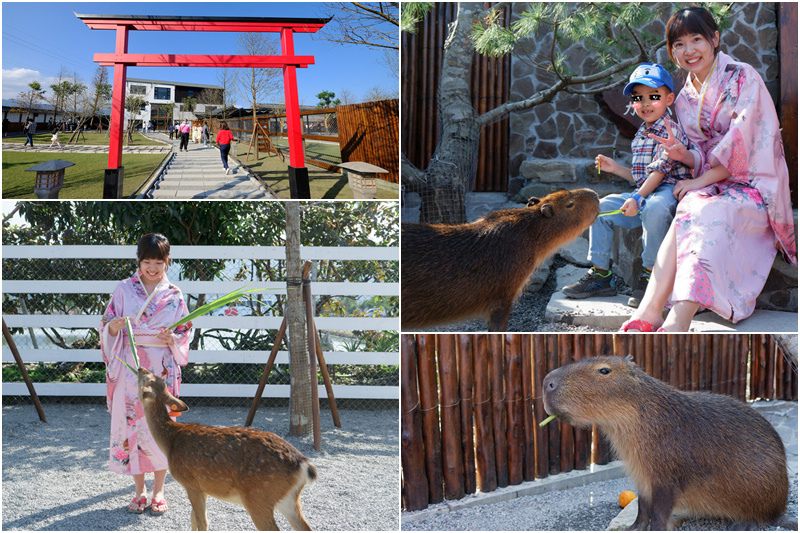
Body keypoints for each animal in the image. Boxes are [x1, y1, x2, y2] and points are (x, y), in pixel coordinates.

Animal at [138, 368, 316, 528]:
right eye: (155, 377)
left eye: (147, 379)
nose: (140, 368)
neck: (170, 441)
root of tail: (303, 464)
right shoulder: (203, 487)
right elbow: (194, 519)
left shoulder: (191, 483)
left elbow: (202, 522)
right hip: (288, 498)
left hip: (258, 496)